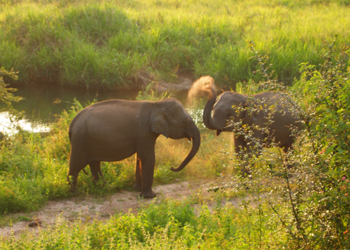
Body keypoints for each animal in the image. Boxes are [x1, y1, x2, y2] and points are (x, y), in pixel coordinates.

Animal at [67, 97, 201, 197]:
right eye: (185, 122)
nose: (172, 167)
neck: (156, 104)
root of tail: (73, 122)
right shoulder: (143, 133)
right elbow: (148, 157)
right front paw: (150, 196)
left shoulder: (142, 136)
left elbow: (140, 158)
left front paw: (137, 189)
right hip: (80, 140)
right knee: (76, 166)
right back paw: (74, 193)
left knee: (94, 164)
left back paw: (103, 188)